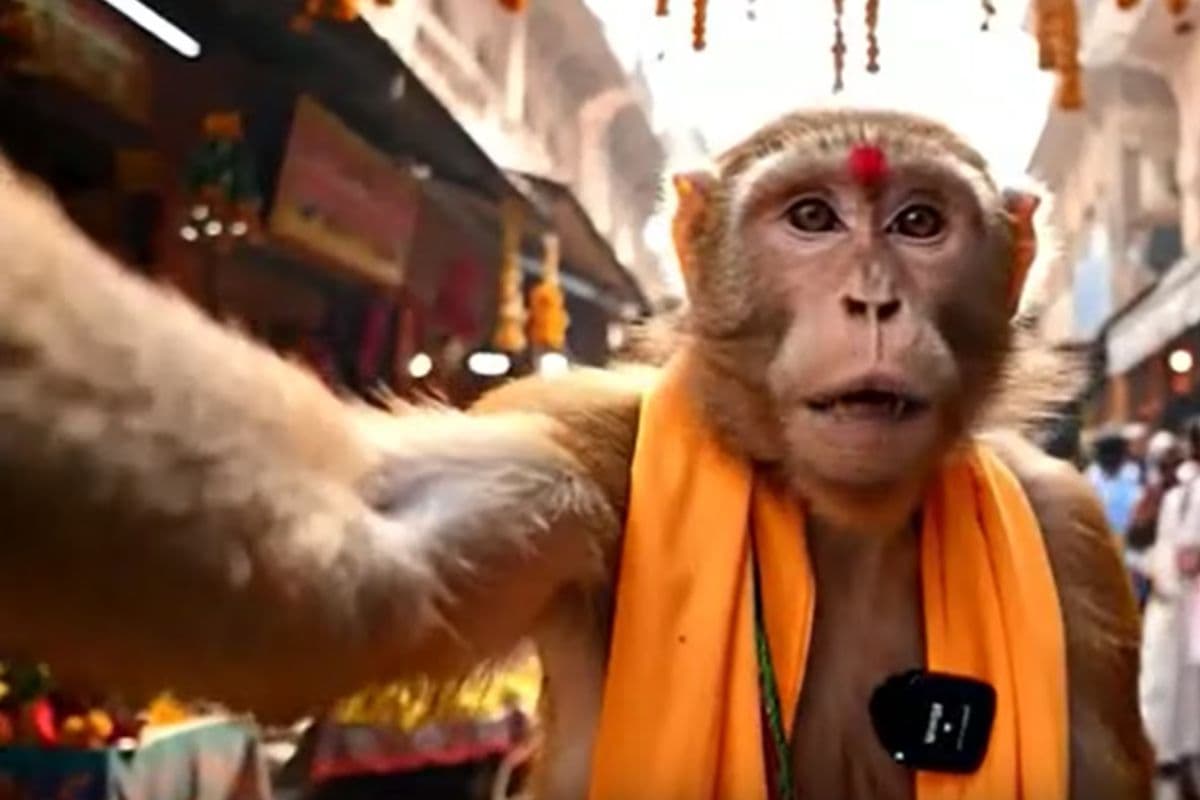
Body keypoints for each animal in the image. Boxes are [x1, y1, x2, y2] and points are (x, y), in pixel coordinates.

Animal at [0, 109, 1150, 799]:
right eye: (813, 217)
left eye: (918, 222)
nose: (873, 299)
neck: (839, 516)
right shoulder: (592, 443)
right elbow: (375, 519)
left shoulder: (1069, 531)